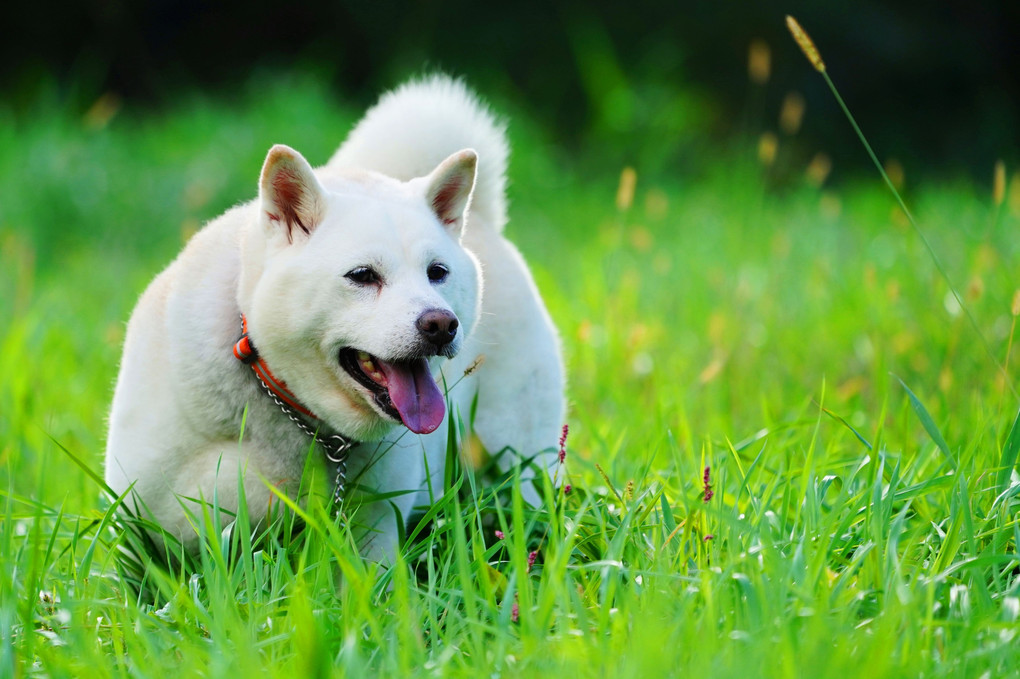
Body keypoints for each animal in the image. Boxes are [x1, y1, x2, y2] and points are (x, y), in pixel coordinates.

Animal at [105, 75, 567, 558]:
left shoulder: (375, 532)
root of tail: (482, 220)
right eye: (362, 275)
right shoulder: (142, 531)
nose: (441, 324)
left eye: (437, 273)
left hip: (520, 459)